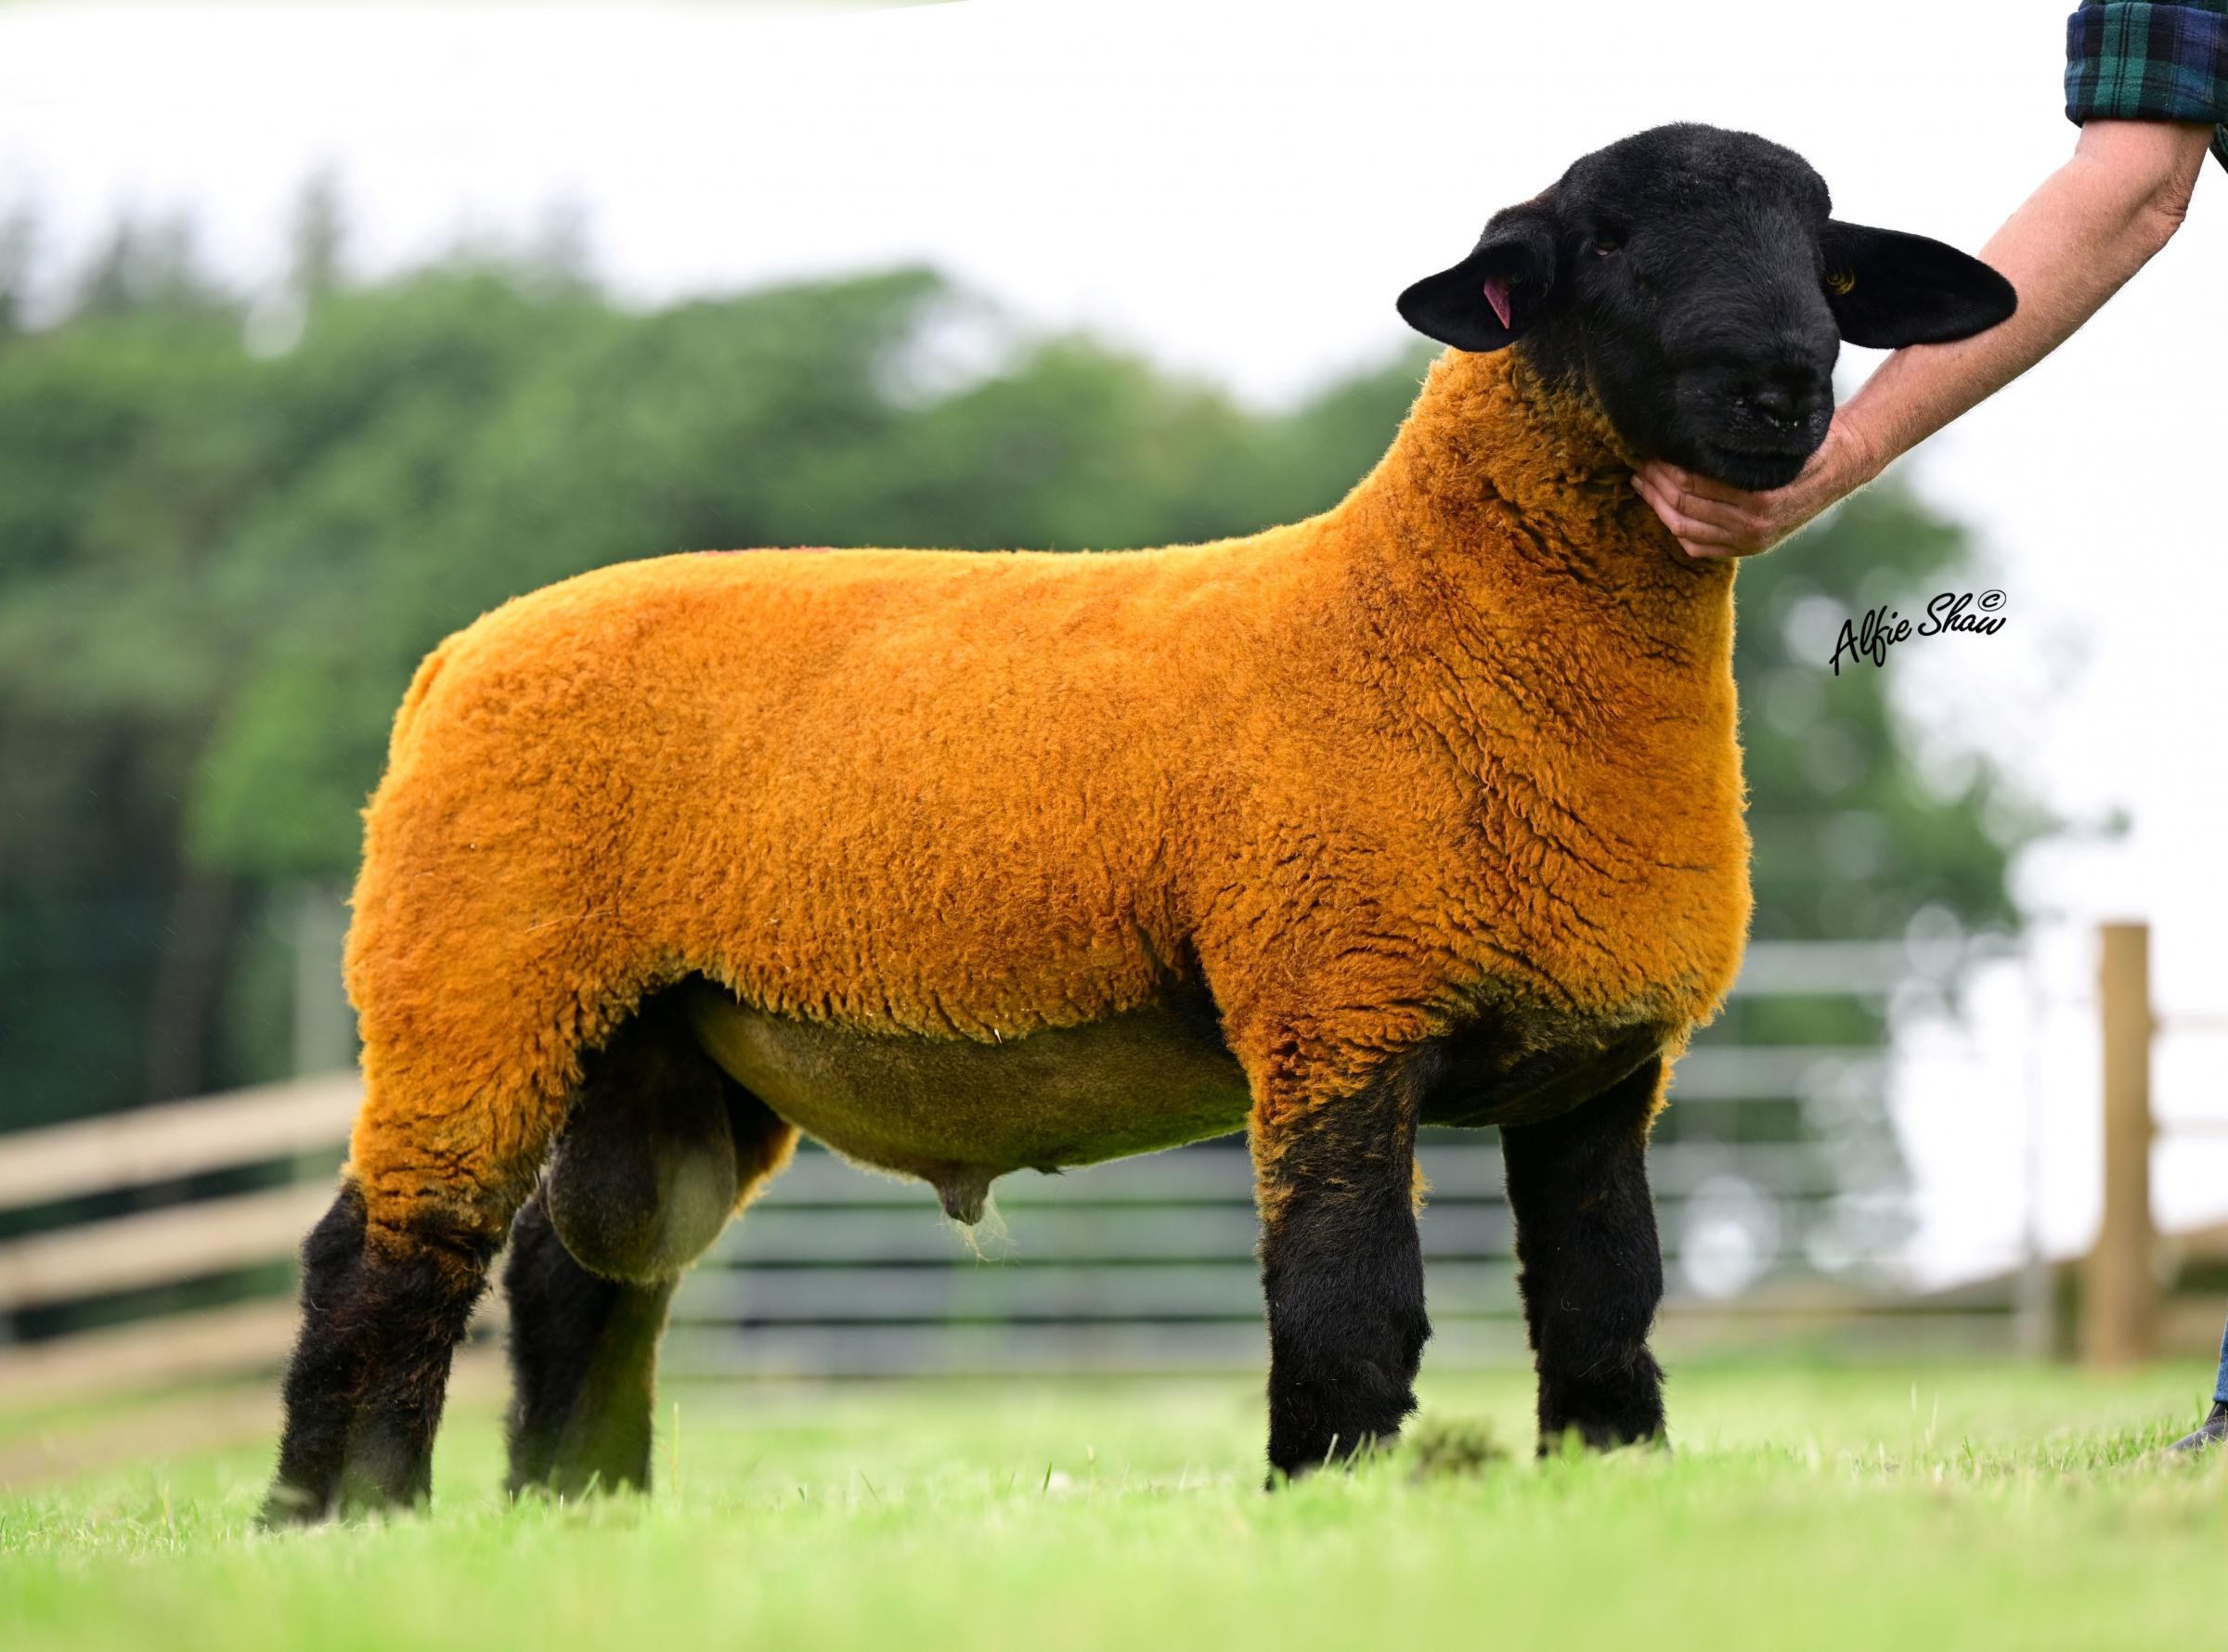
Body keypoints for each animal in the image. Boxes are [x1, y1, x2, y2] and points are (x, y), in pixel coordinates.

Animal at [260, 126, 2023, 1522]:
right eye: (1598, 243)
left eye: (1826, 252)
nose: (1781, 384)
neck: (1425, 620)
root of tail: (456, 655)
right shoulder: (1335, 1000)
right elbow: (1347, 1299)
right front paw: (1328, 1500)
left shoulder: (1597, 1063)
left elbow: (1603, 1305)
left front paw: (1609, 1485)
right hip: (472, 975)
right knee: (389, 1251)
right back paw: (340, 1523)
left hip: (662, 1038)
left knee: (586, 1271)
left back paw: (582, 1513)